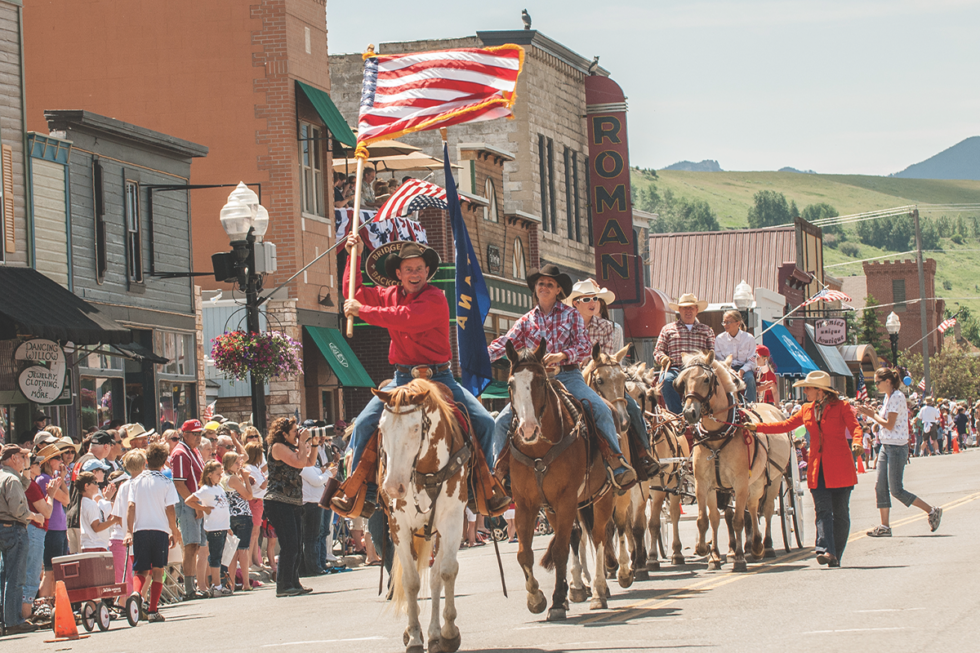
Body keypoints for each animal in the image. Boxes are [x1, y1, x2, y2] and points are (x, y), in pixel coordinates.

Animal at [374, 376, 468, 652]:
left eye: (416, 428)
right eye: (381, 428)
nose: (393, 486)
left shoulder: (452, 520)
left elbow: (446, 572)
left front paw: (449, 633)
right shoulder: (398, 526)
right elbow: (411, 581)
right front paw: (415, 636)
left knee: (436, 576)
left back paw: (436, 634)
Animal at [506, 338, 612, 620]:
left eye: (541, 381)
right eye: (510, 384)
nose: (528, 429)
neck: (539, 450)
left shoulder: (566, 501)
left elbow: (561, 550)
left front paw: (555, 601)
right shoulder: (526, 504)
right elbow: (524, 554)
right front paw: (536, 598)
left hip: (602, 496)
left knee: (599, 536)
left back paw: (598, 591)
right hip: (557, 507)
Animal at [584, 342, 648, 584]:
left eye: (622, 379)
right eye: (599, 380)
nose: (623, 421)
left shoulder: (624, 489)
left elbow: (621, 523)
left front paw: (623, 569)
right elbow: (602, 529)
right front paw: (608, 566)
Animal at [668, 352, 792, 572]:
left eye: (706, 379)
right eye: (680, 383)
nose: (690, 413)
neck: (717, 435)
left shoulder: (740, 482)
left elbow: (738, 520)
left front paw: (739, 558)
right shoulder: (704, 484)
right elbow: (707, 519)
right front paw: (709, 552)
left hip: (773, 478)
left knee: (766, 509)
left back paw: (765, 546)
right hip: (753, 482)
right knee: (752, 507)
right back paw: (755, 545)